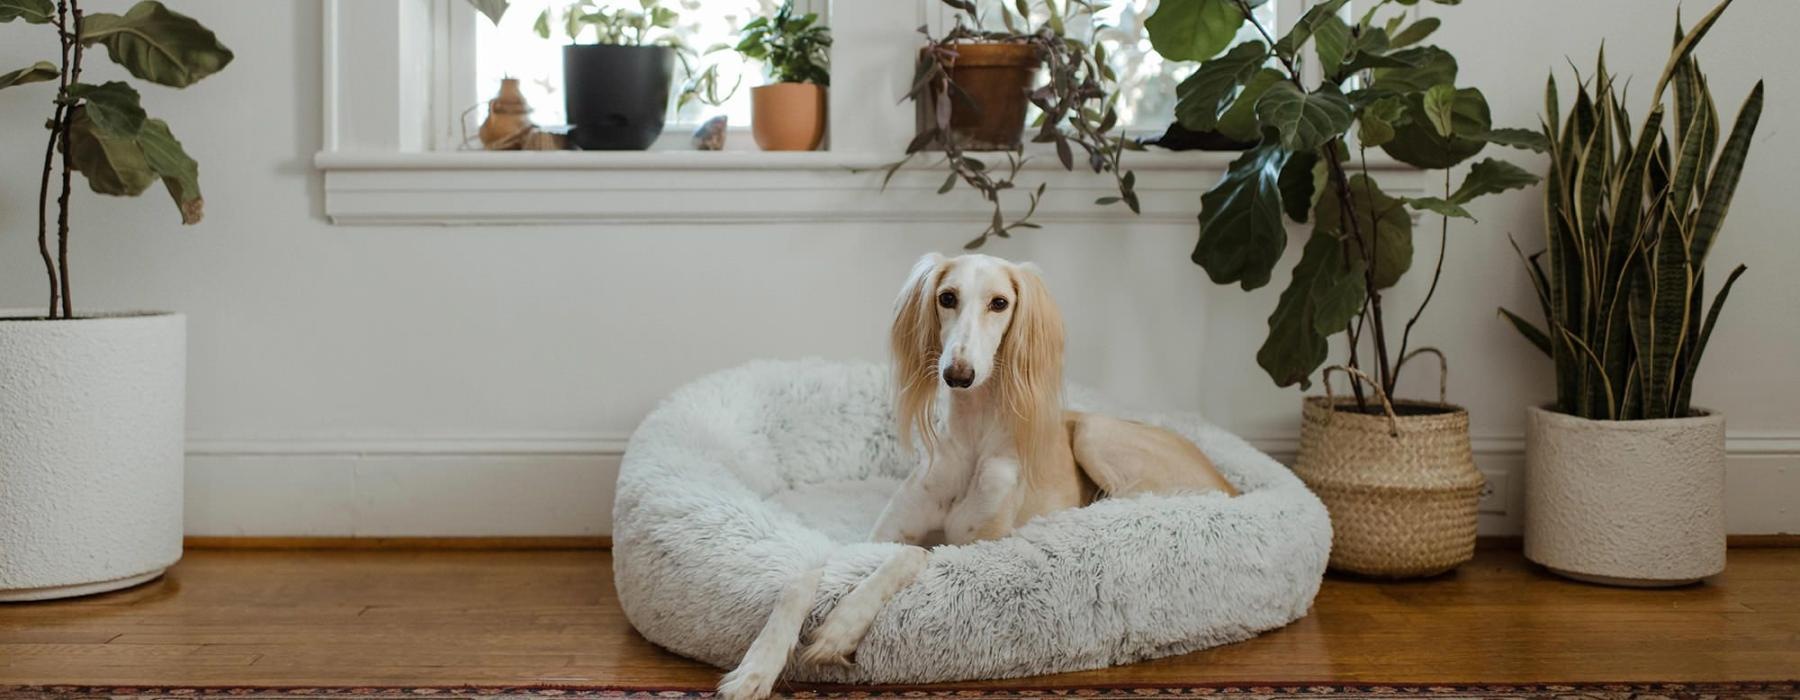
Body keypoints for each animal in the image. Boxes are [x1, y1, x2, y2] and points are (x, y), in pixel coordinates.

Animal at [716, 251, 1238, 698]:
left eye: (999, 303)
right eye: (947, 297)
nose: (959, 374)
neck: (971, 443)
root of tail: (1230, 484)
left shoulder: (976, 550)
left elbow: (911, 555)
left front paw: (840, 629)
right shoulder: (872, 539)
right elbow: (803, 577)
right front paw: (756, 668)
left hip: (1095, 434)